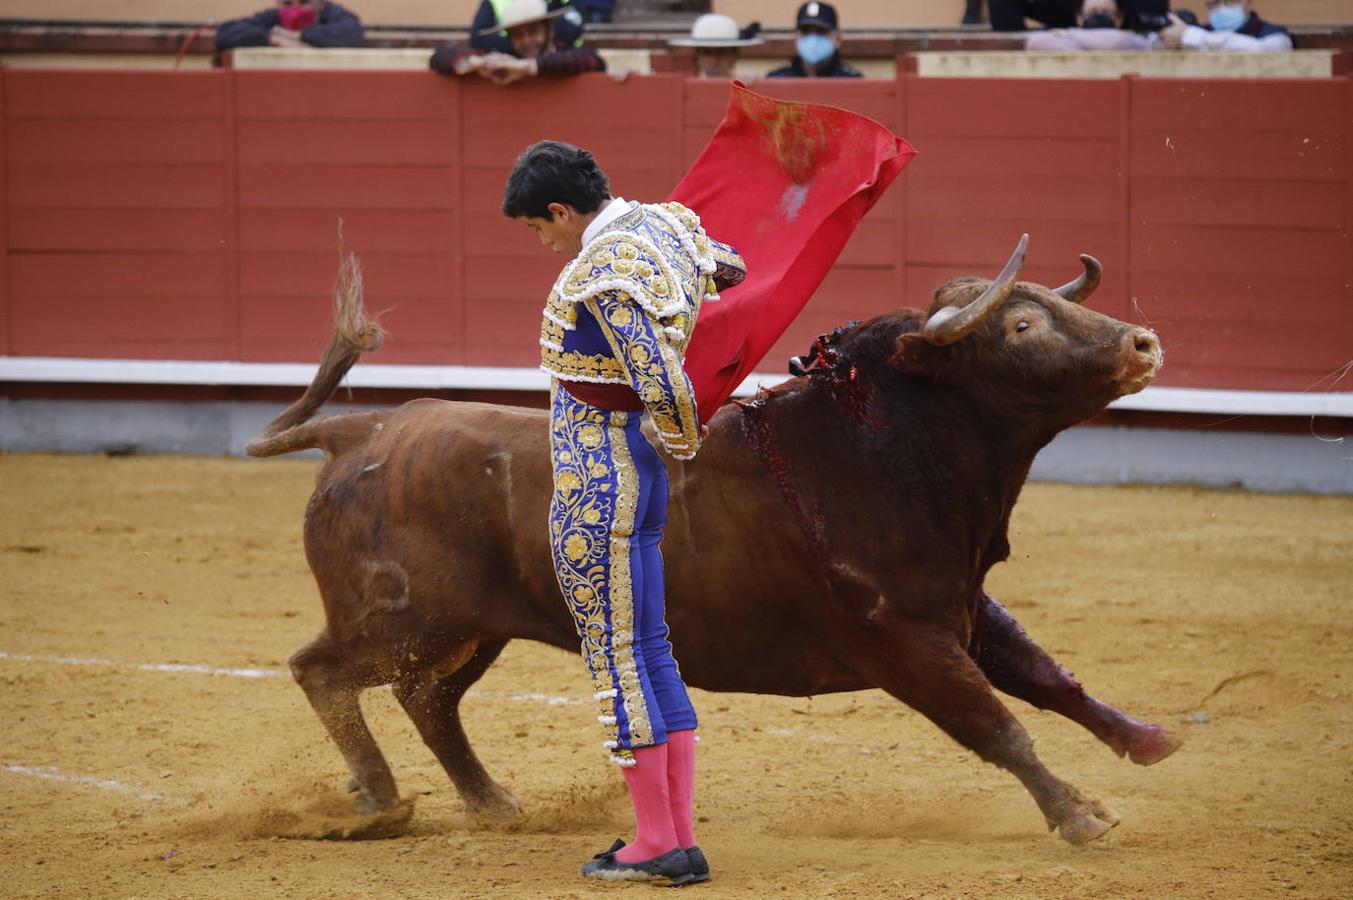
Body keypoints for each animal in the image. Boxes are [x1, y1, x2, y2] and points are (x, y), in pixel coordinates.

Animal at [251, 235, 1174, 844]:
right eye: (1019, 327)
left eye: (1062, 303)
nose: (1142, 341)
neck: (876, 447)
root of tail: (365, 429)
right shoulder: (905, 641)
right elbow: (995, 722)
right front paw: (1080, 814)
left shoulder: (963, 608)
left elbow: (1048, 680)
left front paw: (1148, 741)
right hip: (403, 623)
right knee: (320, 671)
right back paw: (380, 801)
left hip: (474, 629)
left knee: (428, 700)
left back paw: (489, 802)